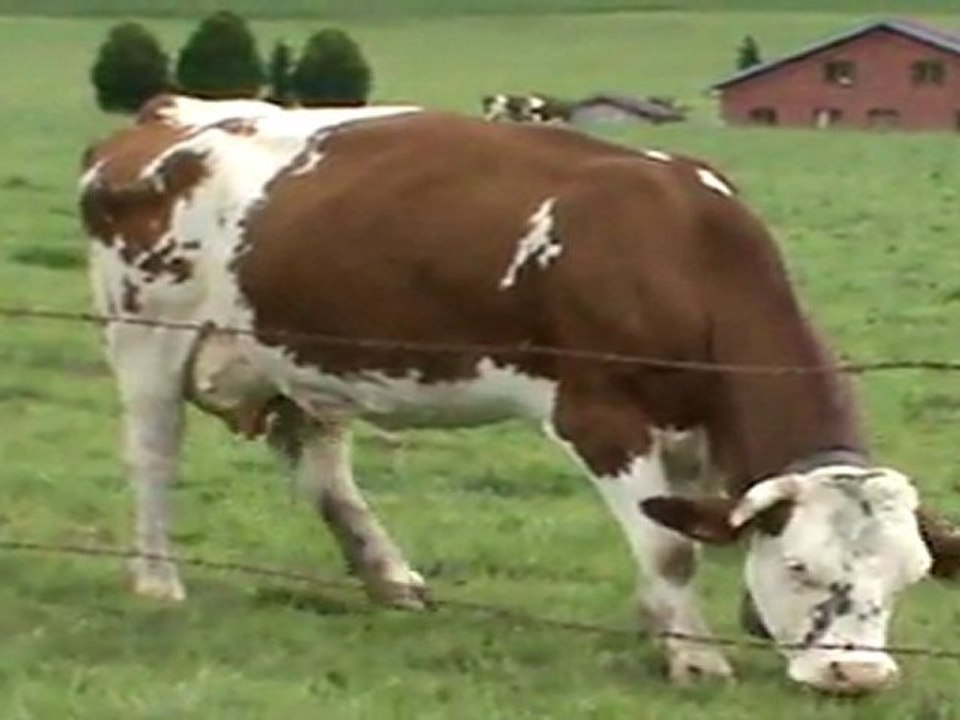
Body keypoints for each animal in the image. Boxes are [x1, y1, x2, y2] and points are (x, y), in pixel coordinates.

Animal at [79, 94, 960, 695]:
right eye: (804, 567)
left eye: (908, 578)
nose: (857, 677)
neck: (682, 251)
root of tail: (170, 113)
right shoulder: (600, 415)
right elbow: (669, 546)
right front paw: (695, 657)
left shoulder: (693, 430)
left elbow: (685, 530)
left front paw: (662, 624)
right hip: (147, 337)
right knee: (152, 456)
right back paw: (159, 583)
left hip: (298, 360)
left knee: (322, 470)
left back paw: (389, 579)